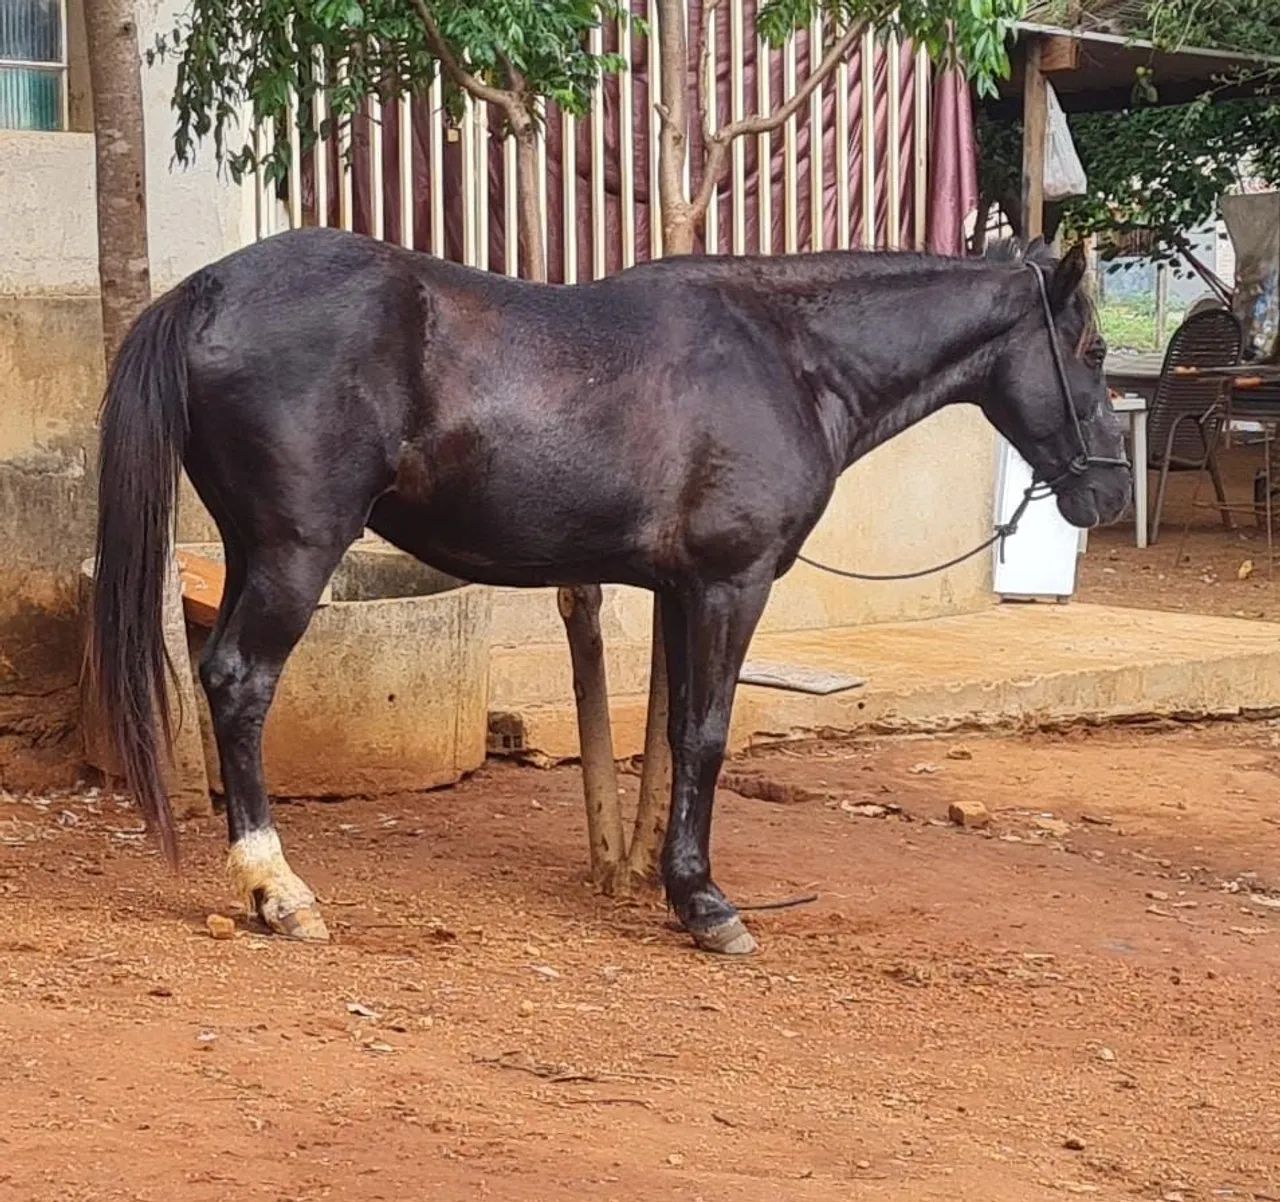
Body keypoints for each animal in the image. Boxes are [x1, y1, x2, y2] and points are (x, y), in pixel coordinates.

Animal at [88, 230, 1130, 954]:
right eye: (1092, 348)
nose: (1111, 492)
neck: (787, 357)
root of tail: (208, 289)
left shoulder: (681, 589)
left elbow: (669, 732)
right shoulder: (731, 583)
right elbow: (705, 734)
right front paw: (707, 906)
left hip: (249, 546)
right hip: (296, 552)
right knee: (241, 682)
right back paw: (278, 892)